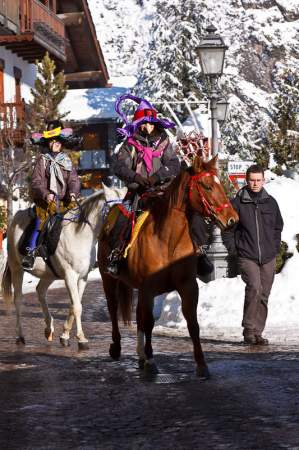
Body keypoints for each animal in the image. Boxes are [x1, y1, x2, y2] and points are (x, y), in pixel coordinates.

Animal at [0, 185, 126, 350]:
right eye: (113, 208)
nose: (122, 230)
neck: (80, 234)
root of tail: (15, 218)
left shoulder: (83, 277)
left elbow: (74, 305)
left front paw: (65, 335)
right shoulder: (70, 276)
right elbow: (77, 306)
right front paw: (81, 339)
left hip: (49, 274)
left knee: (40, 291)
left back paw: (49, 329)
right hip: (17, 268)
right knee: (19, 299)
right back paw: (20, 336)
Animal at [98, 156, 239, 378]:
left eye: (219, 184)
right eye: (207, 186)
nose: (232, 219)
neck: (167, 239)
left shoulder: (188, 287)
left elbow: (192, 323)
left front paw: (201, 364)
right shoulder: (148, 289)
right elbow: (148, 322)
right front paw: (151, 361)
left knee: (137, 315)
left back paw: (140, 355)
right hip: (109, 280)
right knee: (114, 308)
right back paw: (117, 347)